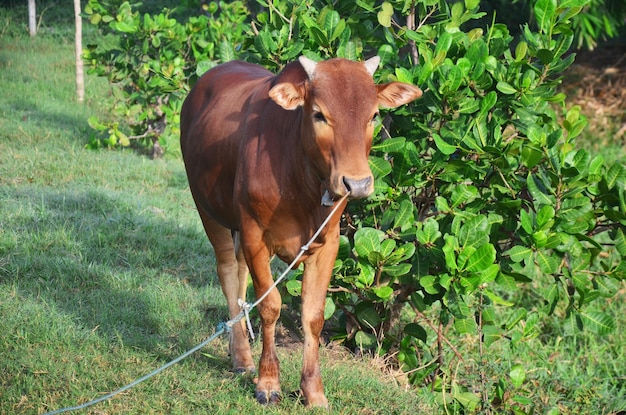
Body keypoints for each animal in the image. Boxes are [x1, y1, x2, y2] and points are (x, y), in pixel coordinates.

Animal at [180, 57, 422, 408]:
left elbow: (313, 315)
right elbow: (270, 306)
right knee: (227, 271)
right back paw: (242, 357)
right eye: (319, 114)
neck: (301, 179)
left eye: (374, 115)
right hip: (208, 208)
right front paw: (268, 383)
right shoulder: (255, 235)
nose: (357, 183)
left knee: (239, 274)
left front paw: (313, 390)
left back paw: (240, 355)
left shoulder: (328, 244)